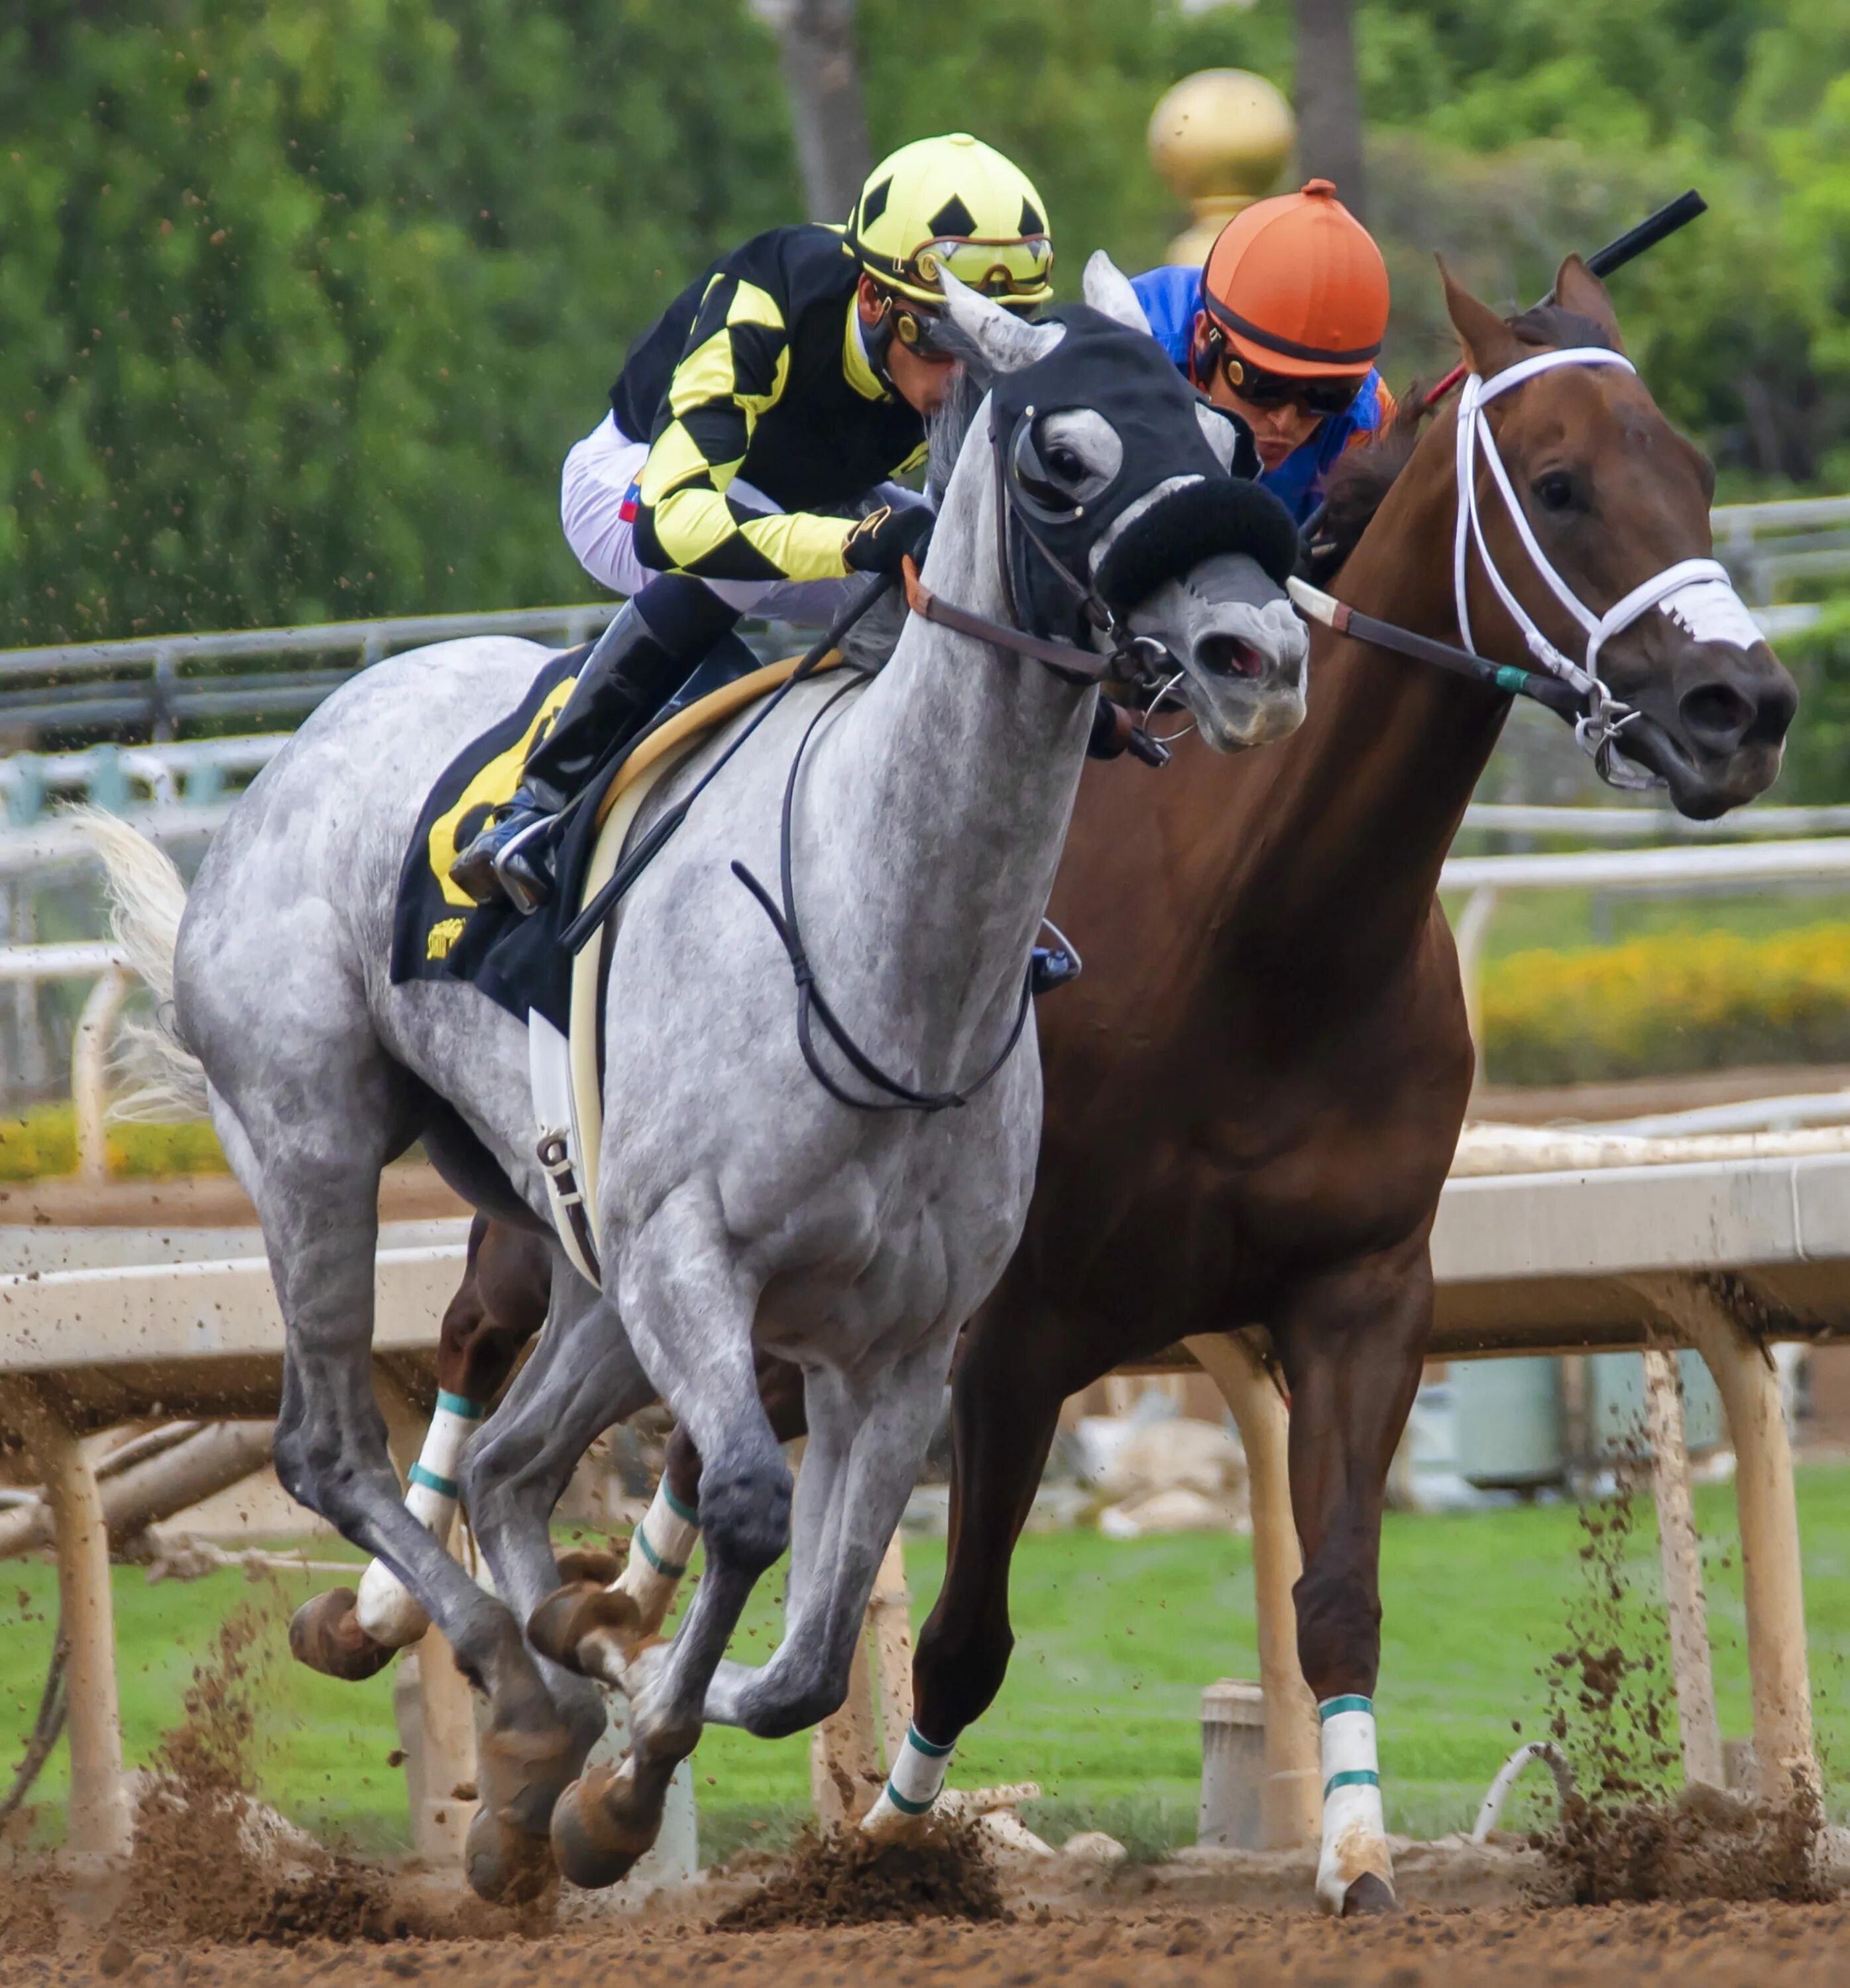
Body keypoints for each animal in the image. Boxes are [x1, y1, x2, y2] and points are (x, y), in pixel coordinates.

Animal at [83, 260, 1297, 1893]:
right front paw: (618, 1762)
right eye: (1063, 458)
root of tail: (311, 737)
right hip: (314, 1142)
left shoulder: (899, 1346)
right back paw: (521, 1706)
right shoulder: (697, 1263)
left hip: (582, 1252)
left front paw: (620, 1673)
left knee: (508, 1468)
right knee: (331, 1449)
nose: (1259, 659)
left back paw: (529, 1744)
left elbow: (808, 1658)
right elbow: (742, 1511)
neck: (879, 945)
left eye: (1232, 449)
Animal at [903, 260, 1798, 1908]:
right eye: (1562, 486)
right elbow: (963, 1636)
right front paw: (879, 1855)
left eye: (1702, 474)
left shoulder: (1362, 1292)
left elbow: (1337, 1596)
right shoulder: (1014, 1324)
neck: (1256, 940)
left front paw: (1360, 1851)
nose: (1743, 709)